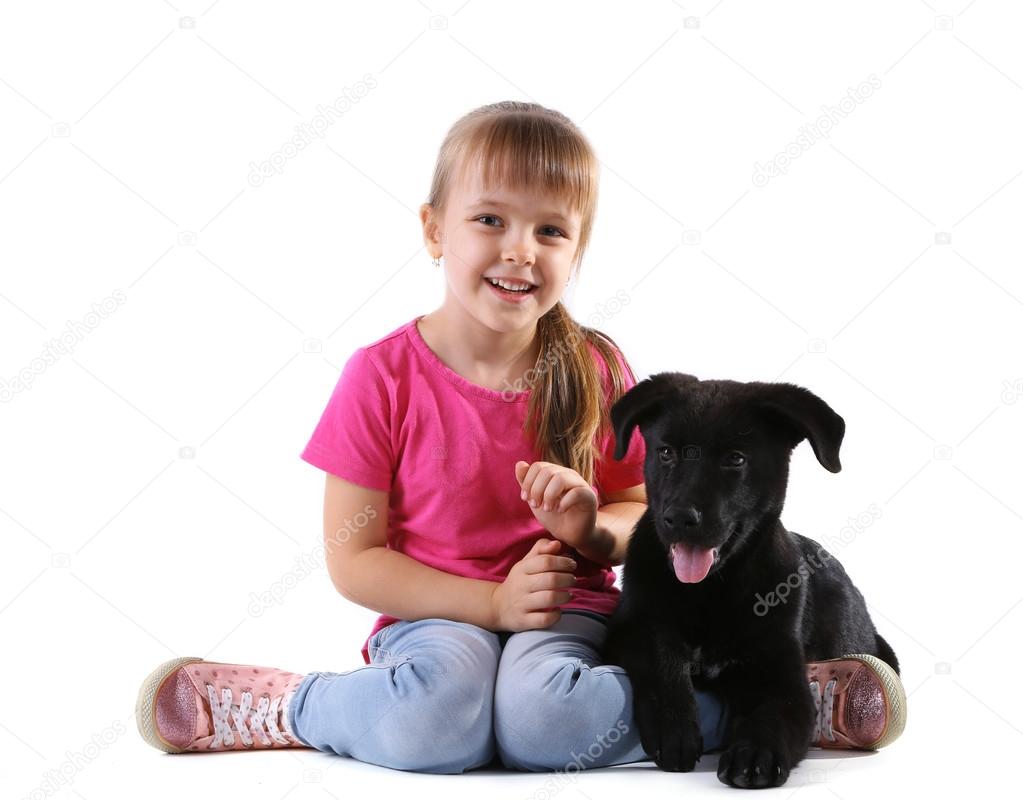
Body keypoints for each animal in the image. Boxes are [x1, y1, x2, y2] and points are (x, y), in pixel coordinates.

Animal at [601, 374, 900, 789]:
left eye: (735, 459)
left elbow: (772, 713)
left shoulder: (781, 673)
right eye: (666, 453)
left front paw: (755, 755)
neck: (709, 593)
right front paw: (674, 729)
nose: (679, 518)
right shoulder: (630, 628)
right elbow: (661, 657)